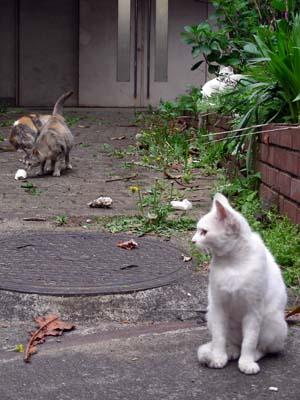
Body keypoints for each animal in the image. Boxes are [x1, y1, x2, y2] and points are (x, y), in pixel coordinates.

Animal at [192, 194, 288, 376]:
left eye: (204, 232)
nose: (193, 241)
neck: (232, 264)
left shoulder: (253, 311)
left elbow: (249, 342)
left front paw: (246, 362)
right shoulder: (219, 306)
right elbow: (219, 338)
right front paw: (218, 357)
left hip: (272, 322)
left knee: (262, 348)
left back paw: (251, 356)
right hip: (211, 314)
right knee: (232, 343)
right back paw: (228, 352)